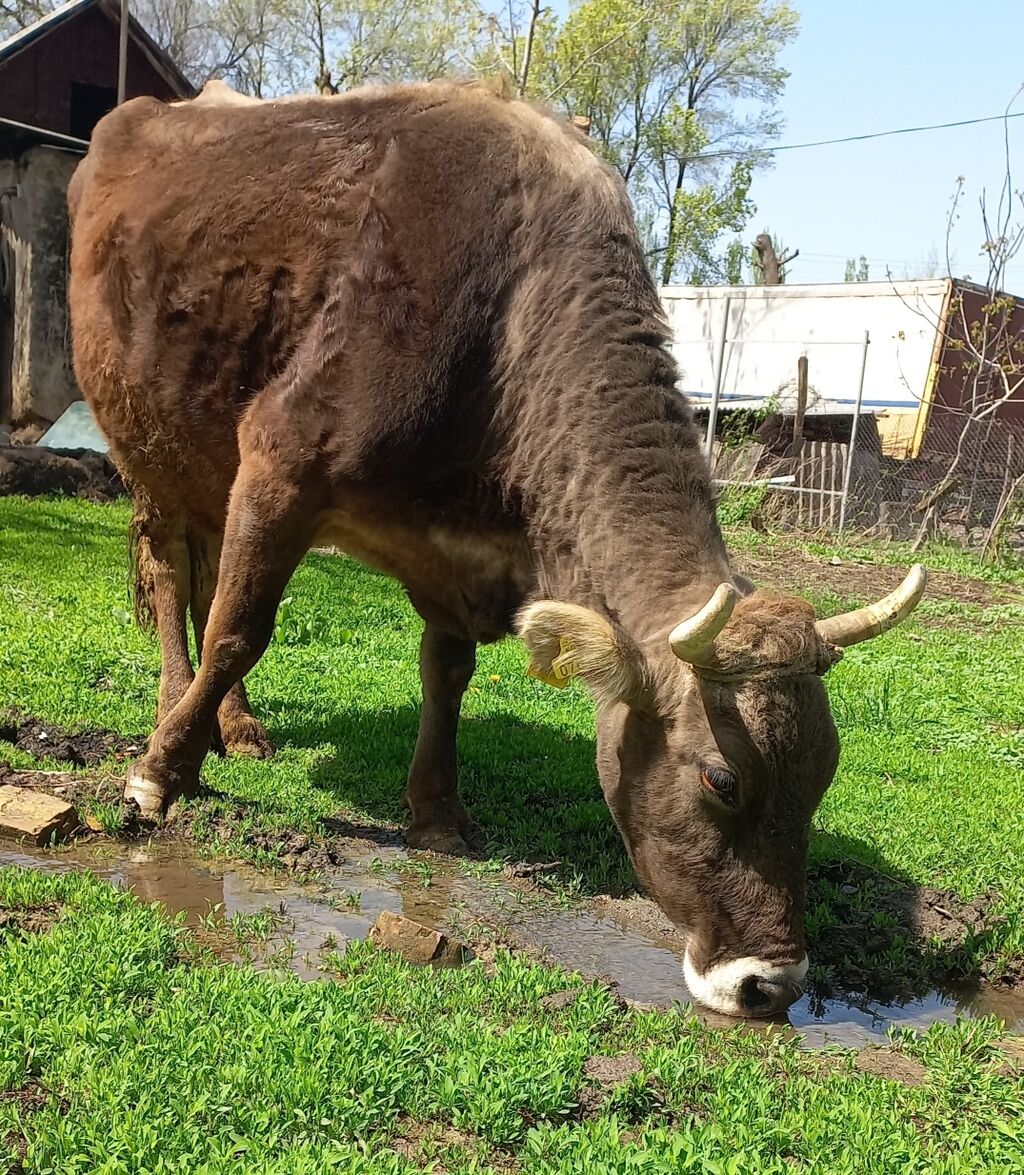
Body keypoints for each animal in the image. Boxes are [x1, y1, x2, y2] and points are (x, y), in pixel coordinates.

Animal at [68, 82, 926, 1019]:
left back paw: (239, 725)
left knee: (204, 582)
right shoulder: (278, 459)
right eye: (721, 779)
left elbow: (445, 673)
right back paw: (178, 714)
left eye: (826, 772)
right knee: (177, 583)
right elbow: (240, 628)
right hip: (151, 447)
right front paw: (155, 777)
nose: (771, 981)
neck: (509, 318)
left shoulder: (463, 553)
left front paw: (438, 810)